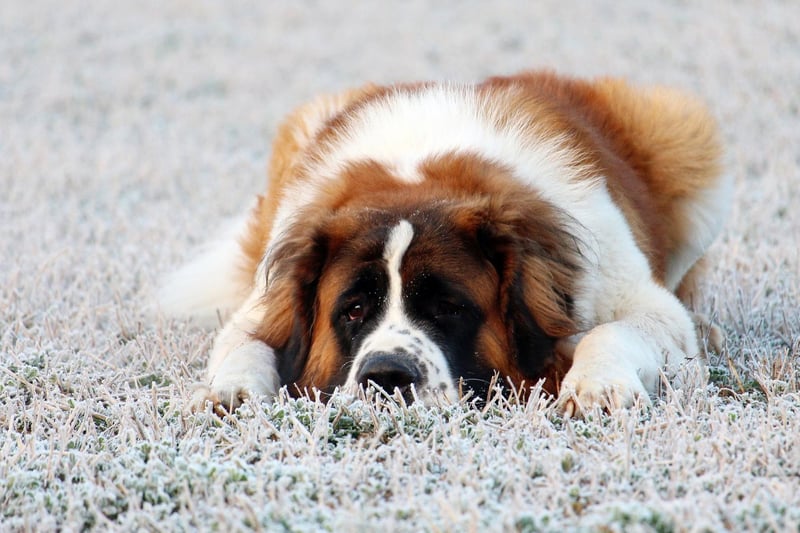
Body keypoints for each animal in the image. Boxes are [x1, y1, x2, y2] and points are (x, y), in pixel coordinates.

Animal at [158, 69, 732, 416]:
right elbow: (248, 342)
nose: (386, 376)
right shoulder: (262, 307)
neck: (418, 173)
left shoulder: (635, 299)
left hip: (685, 135)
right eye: (353, 310)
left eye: (450, 308)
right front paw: (228, 391)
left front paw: (596, 387)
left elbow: (614, 330)